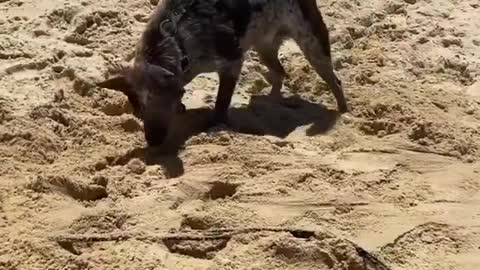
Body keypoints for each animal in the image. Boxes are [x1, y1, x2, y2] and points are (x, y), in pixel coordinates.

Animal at [95, 0, 346, 146]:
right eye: (140, 110)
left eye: (160, 105)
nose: (154, 142)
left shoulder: (232, 62)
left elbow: (221, 101)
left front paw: (216, 126)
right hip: (264, 46)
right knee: (279, 72)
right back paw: (272, 101)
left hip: (312, 40)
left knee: (335, 80)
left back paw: (344, 112)